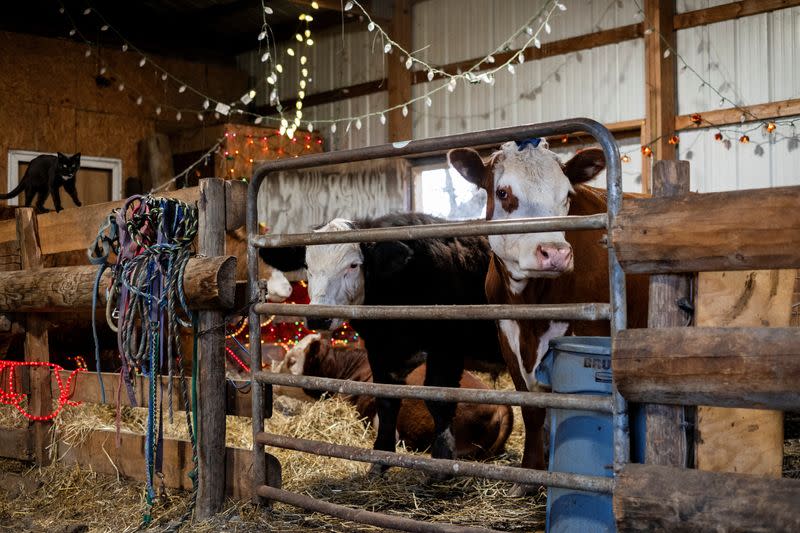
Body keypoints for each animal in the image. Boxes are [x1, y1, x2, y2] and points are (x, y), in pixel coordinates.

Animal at [450, 140, 648, 494]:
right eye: (502, 192)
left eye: (567, 195)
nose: (555, 253)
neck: (531, 304)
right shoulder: (508, 335)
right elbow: (531, 409)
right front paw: (530, 475)